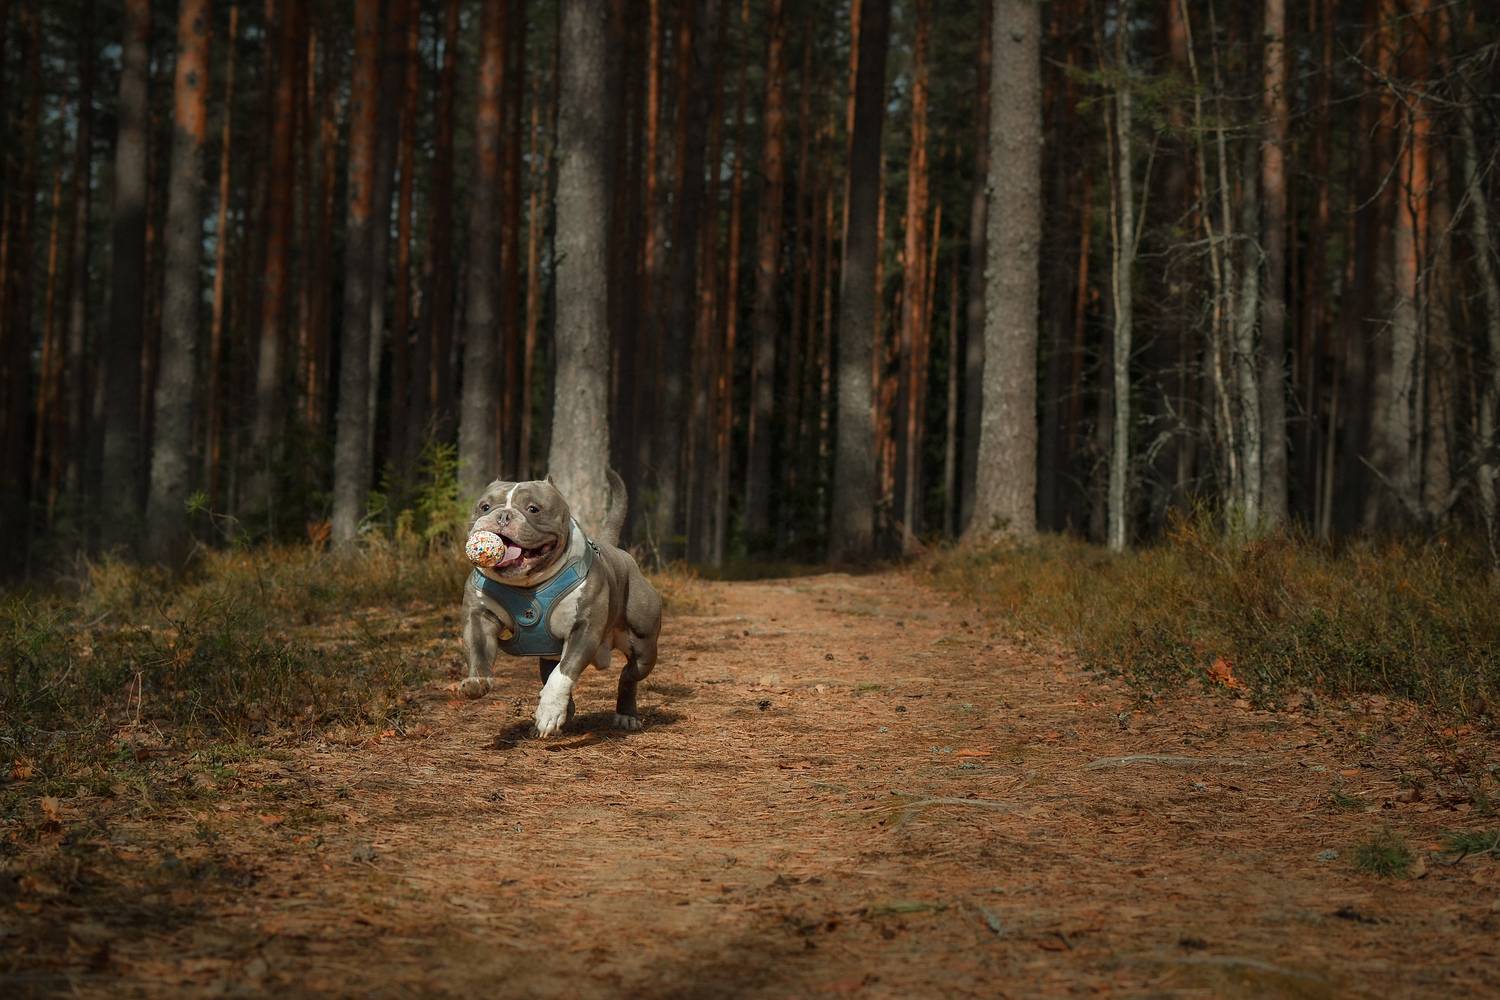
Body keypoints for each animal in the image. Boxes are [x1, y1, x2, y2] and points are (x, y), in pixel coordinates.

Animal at [459, 471, 662, 737]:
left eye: (533, 509)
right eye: (484, 507)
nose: (503, 515)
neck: (528, 584)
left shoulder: (584, 629)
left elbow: (563, 674)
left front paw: (549, 711)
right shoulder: (479, 617)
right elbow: (479, 649)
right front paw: (477, 681)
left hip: (643, 646)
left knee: (629, 674)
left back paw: (625, 715)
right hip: (549, 653)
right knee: (553, 672)